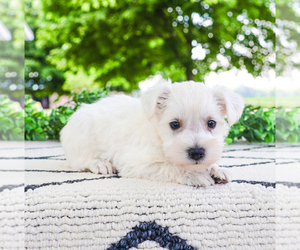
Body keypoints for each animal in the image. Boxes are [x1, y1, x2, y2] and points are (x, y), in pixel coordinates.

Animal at [60, 79, 244, 186]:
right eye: (174, 124)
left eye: (211, 123)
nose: (197, 152)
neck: (158, 136)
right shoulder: (136, 163)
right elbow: (171, 167)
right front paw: (196, 175)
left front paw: (217, 169)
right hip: (82, 135)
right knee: (81, 160)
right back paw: (101, 164)